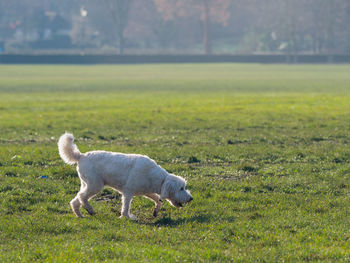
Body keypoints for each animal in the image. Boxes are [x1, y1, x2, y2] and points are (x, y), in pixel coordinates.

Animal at [58, 133, 194, 220]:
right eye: (181, 188)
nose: (191, 198)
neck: (159, 179)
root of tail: (81, 156)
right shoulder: (128, 192)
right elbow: (126, 206)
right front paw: (127, 217)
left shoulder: (146, 191)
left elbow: (157, 199)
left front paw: (156, 211)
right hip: (95, 185)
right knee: (82, 197)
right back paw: (90, 210)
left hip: (87, 184)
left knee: (76, 200)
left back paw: (80, 215)